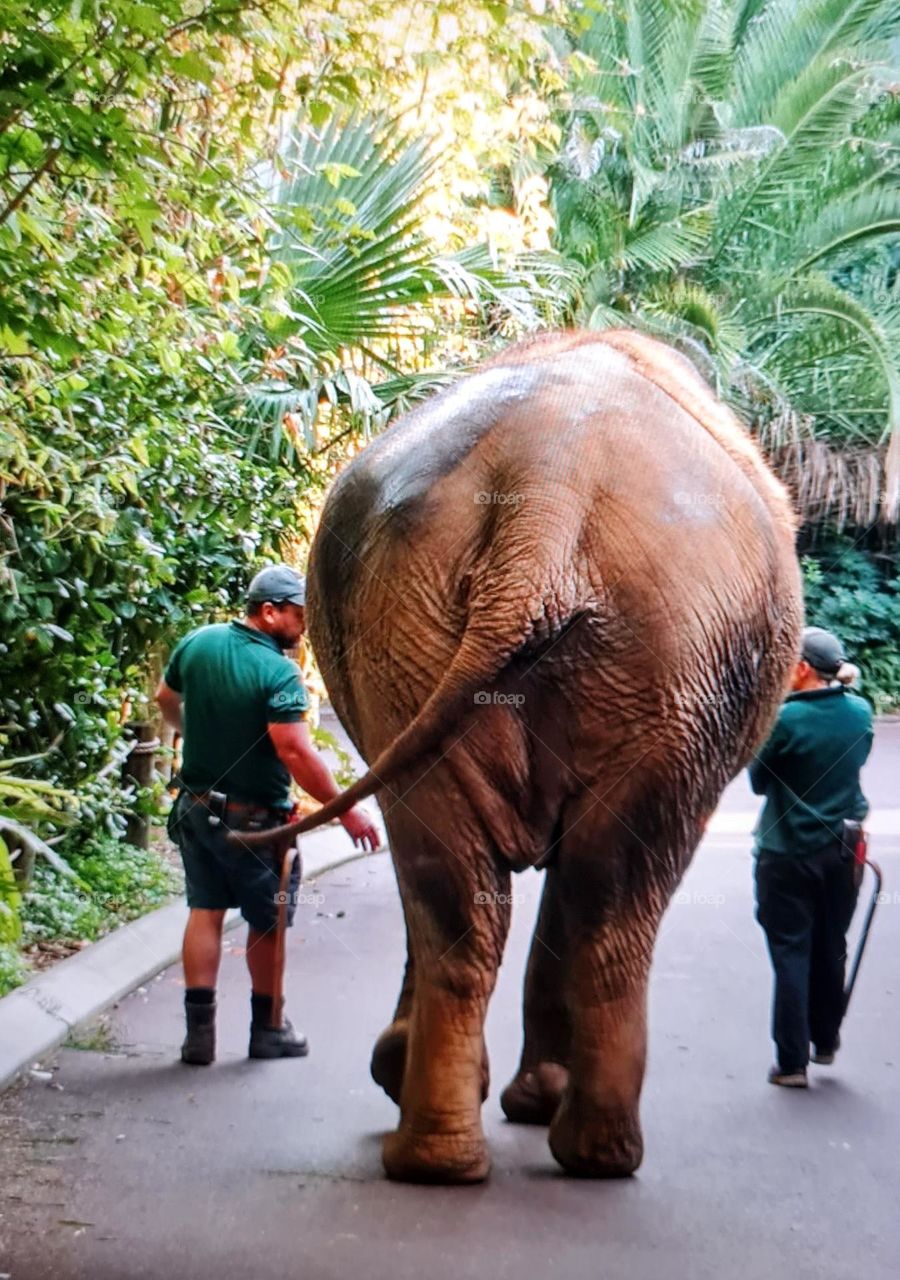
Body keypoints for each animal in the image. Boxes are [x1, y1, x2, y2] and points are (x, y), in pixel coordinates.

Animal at [240, 329, 802, 1184]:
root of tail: (547, 489)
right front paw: (526, 1100)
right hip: (660, 655)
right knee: (600, 894)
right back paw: (565, 1152)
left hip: (593, 651)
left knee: (476, 889)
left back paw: (456, 1158)